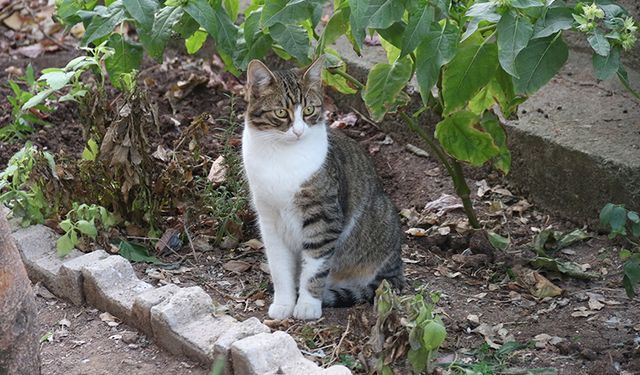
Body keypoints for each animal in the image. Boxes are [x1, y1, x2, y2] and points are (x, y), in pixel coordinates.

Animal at [242, 58, 402, 320]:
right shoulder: (269, 219)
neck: (282, 156)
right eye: (280, 112)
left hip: (382, 218)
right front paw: (283, 303)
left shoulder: (324, 216)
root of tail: (398, 269)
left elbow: (315, 266)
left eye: (309, 110)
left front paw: (308, 305)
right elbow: (279, 267)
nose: (298, 131)